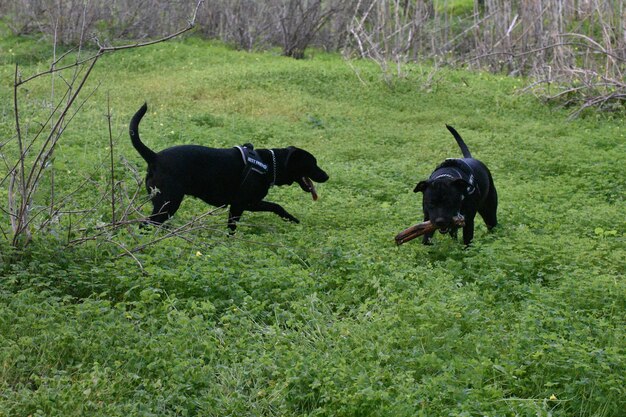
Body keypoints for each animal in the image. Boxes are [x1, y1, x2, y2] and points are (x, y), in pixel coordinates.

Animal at [129, 102, 330, 229]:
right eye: (313, 163)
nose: (327, 176)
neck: (270, 164)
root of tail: (155, 157)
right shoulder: (242, 204)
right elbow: (271, 209)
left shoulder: (244, 205)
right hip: (168, 203)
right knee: (145, 225)